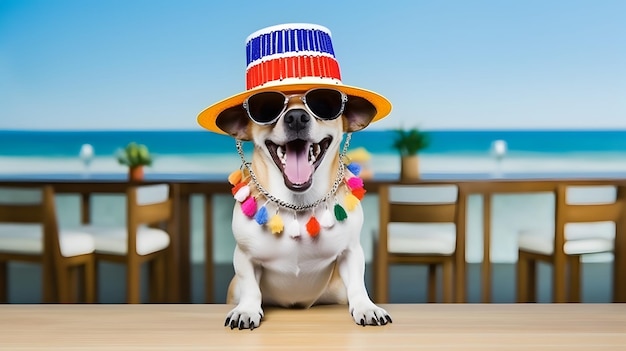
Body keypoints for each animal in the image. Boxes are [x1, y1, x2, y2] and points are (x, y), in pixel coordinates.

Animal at [214, 90, 390, 330]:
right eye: (266, 108)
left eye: (324, 104)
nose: (296, 117)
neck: (298, 203)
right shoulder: (244, 256)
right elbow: (250, 287)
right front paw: (247, 310)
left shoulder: (351, 252)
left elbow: (357, 283)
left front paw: (366, 307)